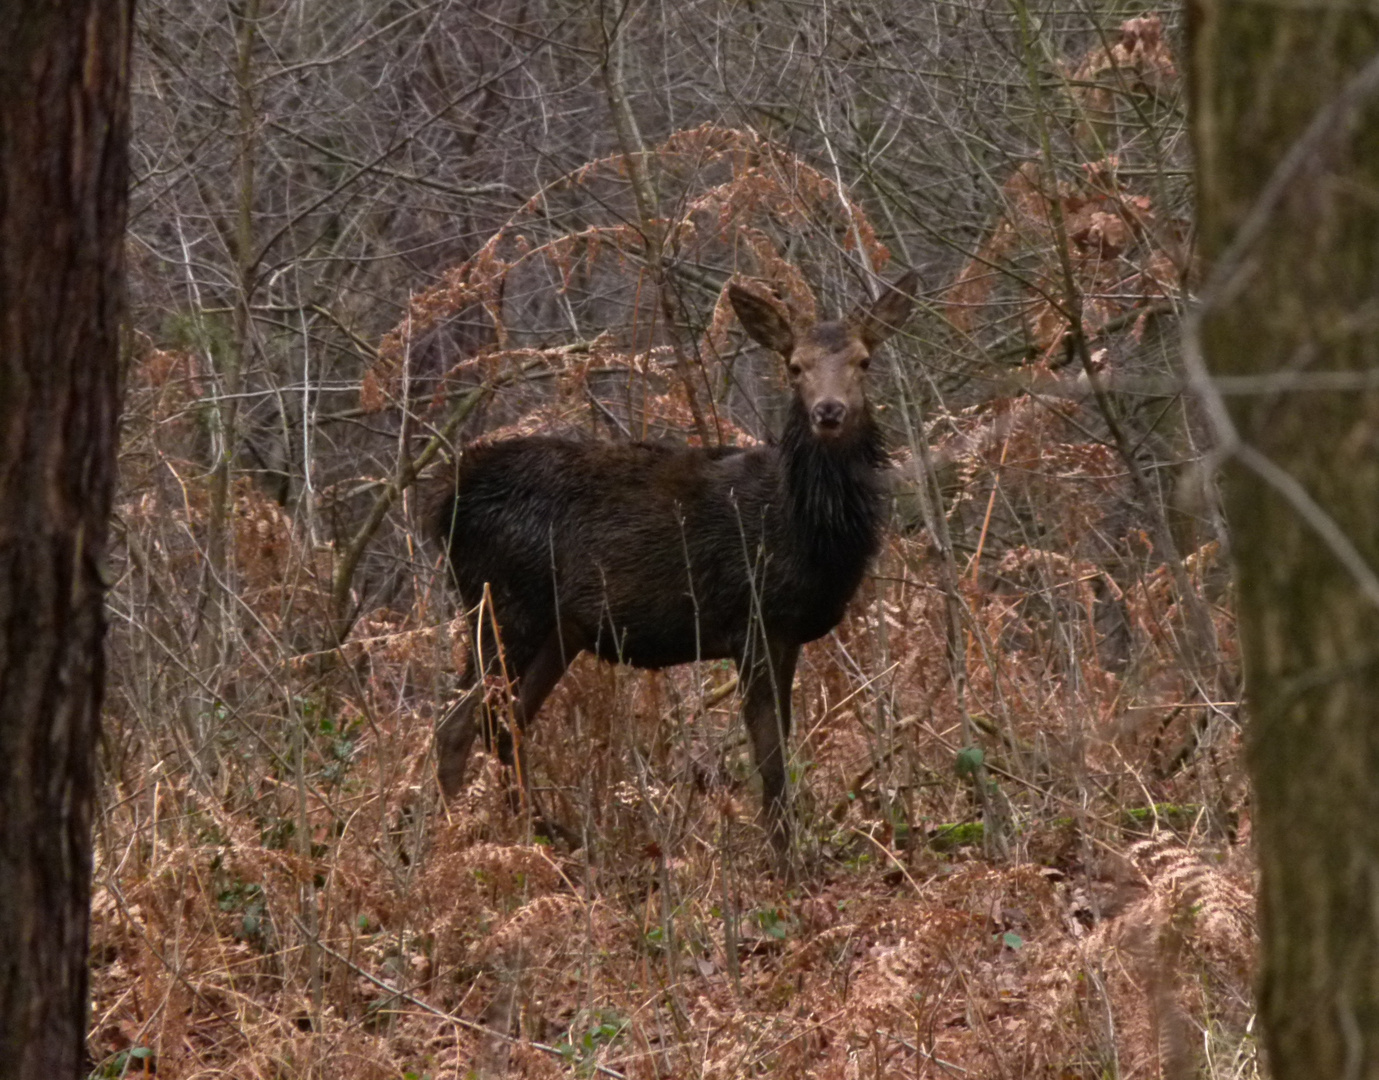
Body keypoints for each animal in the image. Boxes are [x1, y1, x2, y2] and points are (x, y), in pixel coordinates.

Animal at [435, 273, 921, 855]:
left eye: (864, 361)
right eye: (794, 365)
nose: (828, 411)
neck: (804, 531)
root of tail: (444, 505)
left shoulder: (786, 633)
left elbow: (782, 749)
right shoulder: (751, 621)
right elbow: (769, 759)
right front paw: (785, 862)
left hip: (556, 630)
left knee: (506, 726)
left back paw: (549, 838)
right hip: (503, 606)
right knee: (456, 727)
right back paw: (449, 844)